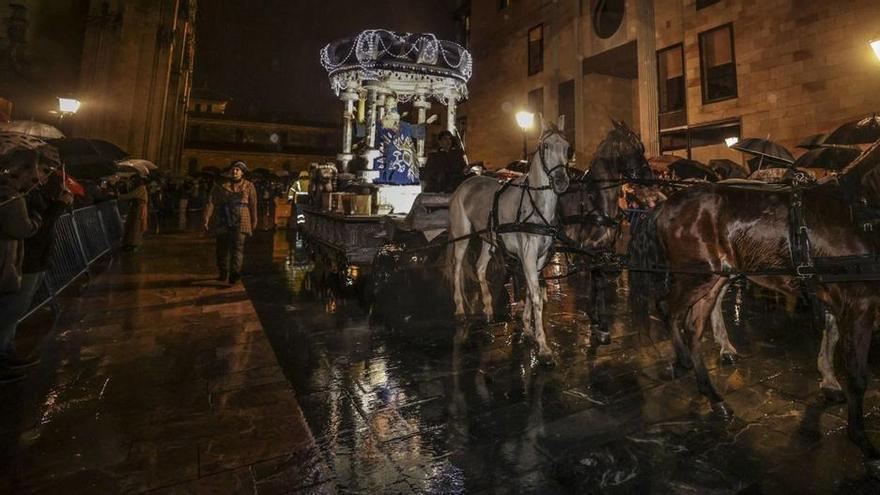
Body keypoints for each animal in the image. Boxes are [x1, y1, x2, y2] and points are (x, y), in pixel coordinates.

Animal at [446, 116, 572, 364]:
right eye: (545, 147)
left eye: (567, 148)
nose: (561, 181)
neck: (536, 205)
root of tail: (465, 184)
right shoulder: (528, 256)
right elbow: (535, 294)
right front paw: (543, 346)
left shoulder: (539, 258)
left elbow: (531, 290)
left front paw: (527, 329)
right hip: (461, 235)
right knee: (457, 268)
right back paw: (460, 309)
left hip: (489, 238)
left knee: (480, 267)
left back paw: (487, 307)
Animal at [628, 141, 880, 478]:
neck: (856, 211)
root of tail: (666, 203)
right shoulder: (860, 305)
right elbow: (857, 375)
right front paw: (864, 443)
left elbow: (834, 341)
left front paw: (829, 382)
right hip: (698, 275)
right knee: (668, 309)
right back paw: (683, 362)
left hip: (715, 277)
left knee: (693, 327)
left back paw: (712, 393)